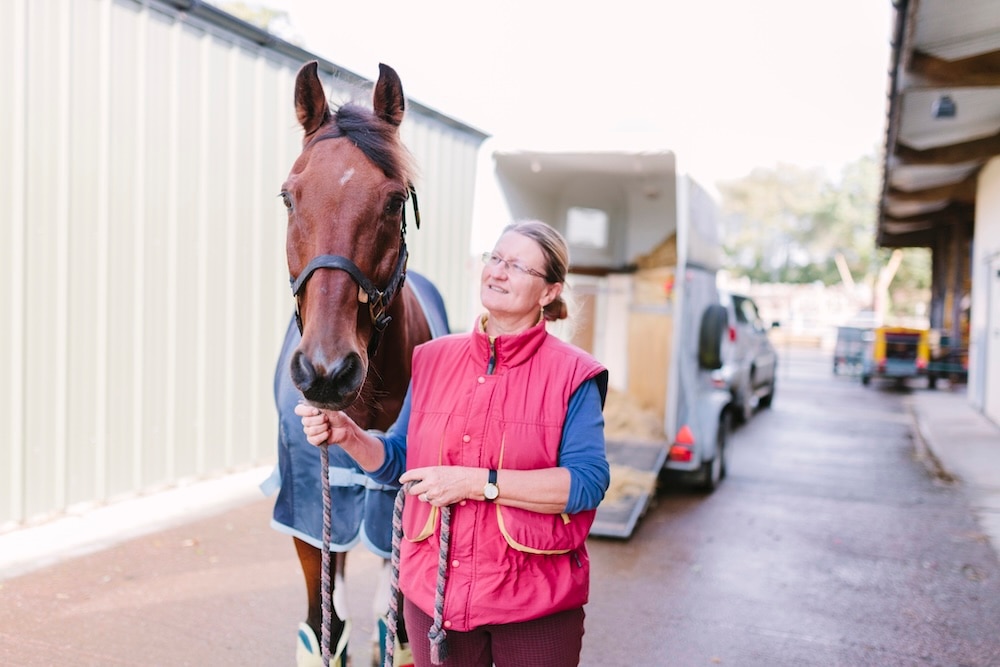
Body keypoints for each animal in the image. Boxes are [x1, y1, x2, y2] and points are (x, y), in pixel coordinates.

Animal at [267, 60, 448, 667]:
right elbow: (322, 625)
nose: (326, 371)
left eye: (393, 201)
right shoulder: (304, 503)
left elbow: (397, 624)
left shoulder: (400, 498)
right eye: (289, 197)